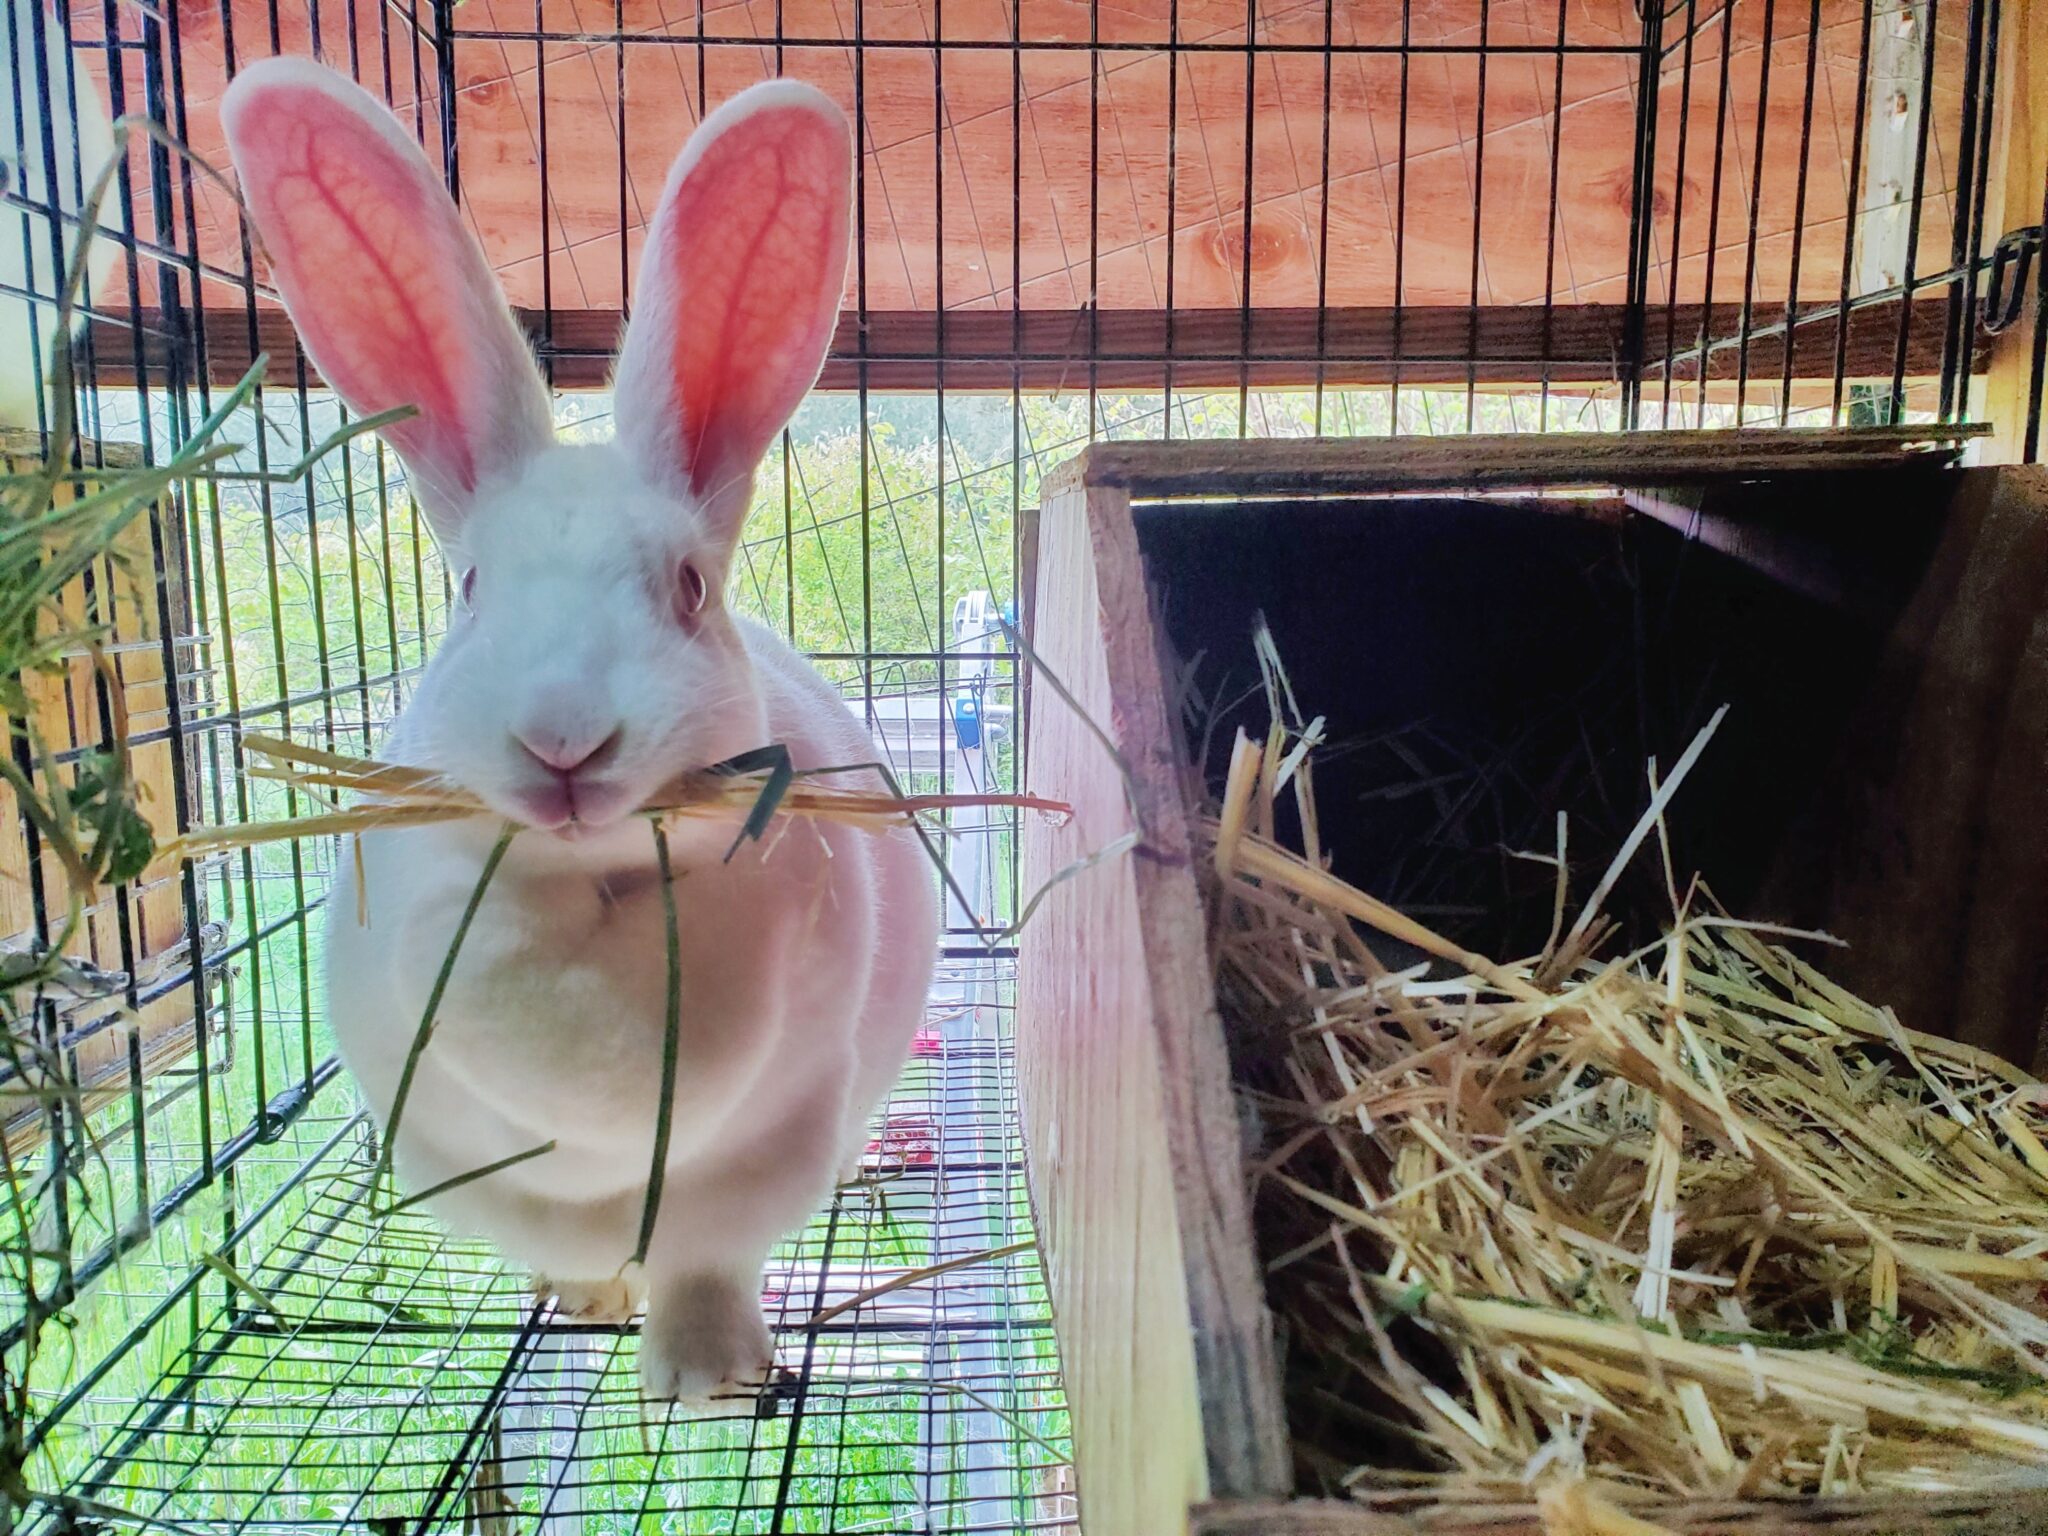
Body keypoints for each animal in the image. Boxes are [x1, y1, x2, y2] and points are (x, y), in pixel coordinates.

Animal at [218, 57, 939, 1408]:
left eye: (690, 588)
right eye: (468, 590)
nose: (563, 745)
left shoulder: (754, 1155)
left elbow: (707, 1250)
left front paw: (703, 1384)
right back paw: (588, 1301)